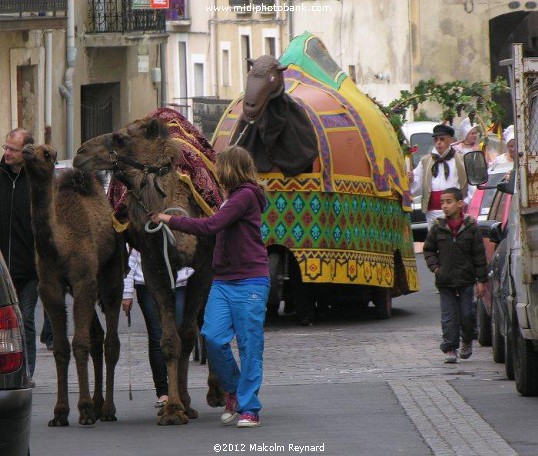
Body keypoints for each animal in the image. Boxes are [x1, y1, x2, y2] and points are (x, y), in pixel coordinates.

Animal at [22, 144, 123, 426]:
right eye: (29, 148)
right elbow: (61, 348)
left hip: (111, 274)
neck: (61, 244)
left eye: (46, 153)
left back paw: (107, 409)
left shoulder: (82, 281)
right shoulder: (50, 287)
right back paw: (99, 404)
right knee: (97, 337)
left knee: (111, 341)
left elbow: (79, 344)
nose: (26, 150)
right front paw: (60, 413)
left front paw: (85, 410)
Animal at [73, 112, 222, 426]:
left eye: (120, 138)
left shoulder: (205, 268)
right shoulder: (155, 264)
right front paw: (175, 409)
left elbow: (189, 333)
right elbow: (170, 339)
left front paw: (188, 403)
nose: (80, 153)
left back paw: (214, 393)